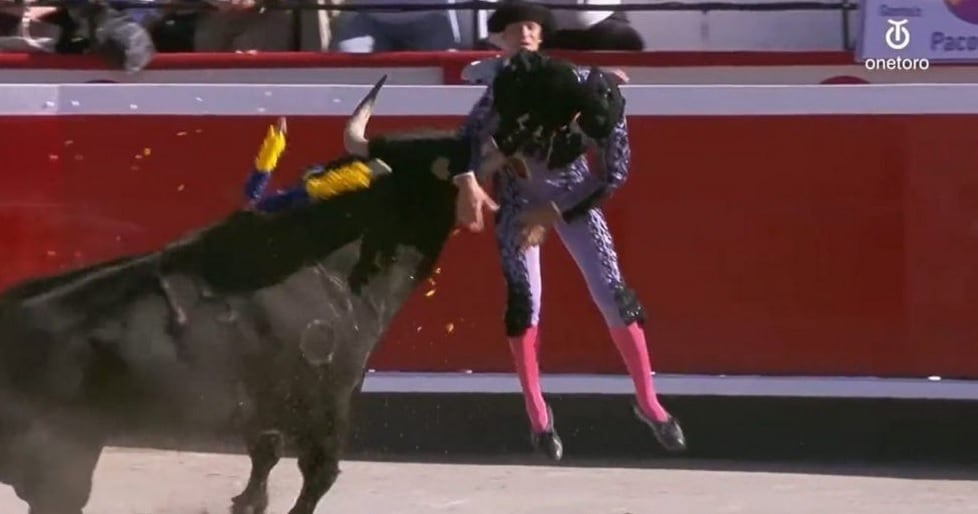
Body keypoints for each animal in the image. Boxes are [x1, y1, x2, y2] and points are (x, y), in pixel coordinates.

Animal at [0, 77, 500, 512]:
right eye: (447, 164)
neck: (327, 264)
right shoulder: (331, 399)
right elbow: (317, 476)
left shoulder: (263, 410)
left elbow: (265, 457)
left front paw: (246, 502)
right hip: (64, 453)